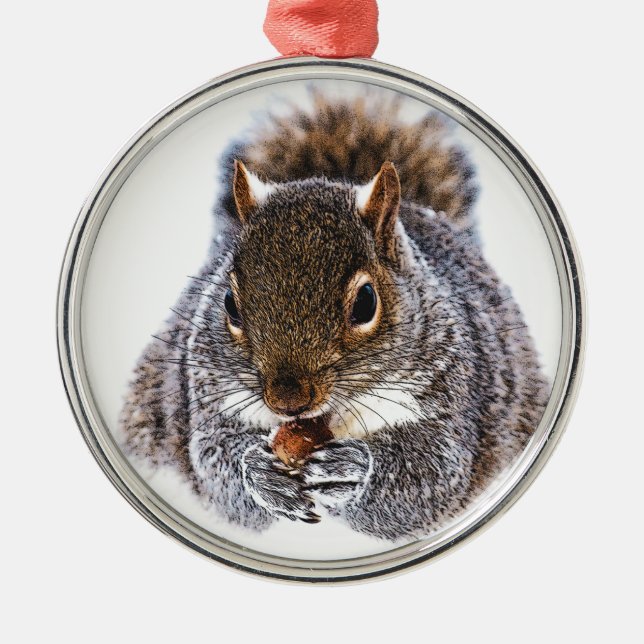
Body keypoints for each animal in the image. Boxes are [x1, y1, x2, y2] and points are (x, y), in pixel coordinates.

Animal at [119, 92, 550, 541]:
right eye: (229, 304)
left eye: (365, 302)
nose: (288, 401)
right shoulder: (208, 394)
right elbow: (215, 467)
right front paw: (259, 474)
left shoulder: (451, 395)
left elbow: (430, 477)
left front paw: (353, 472)